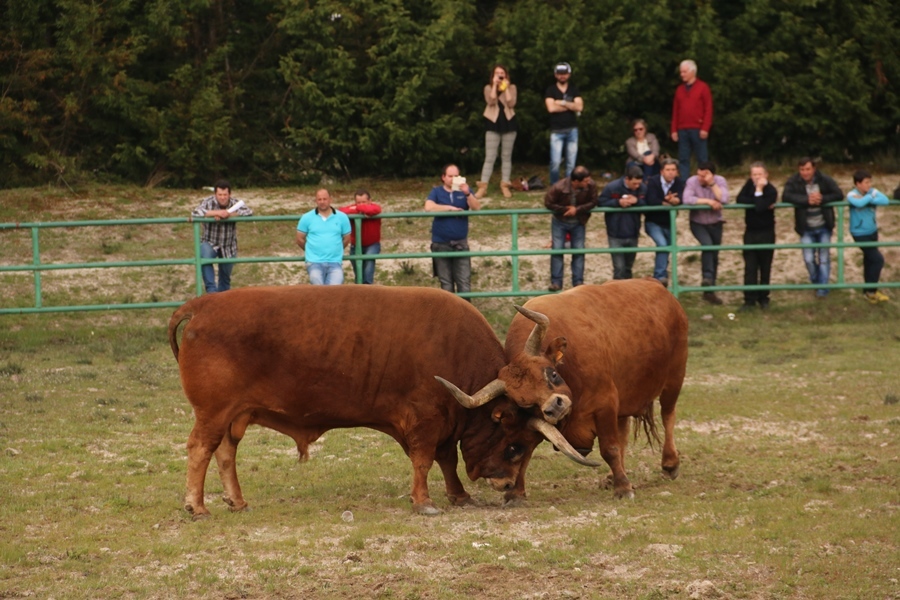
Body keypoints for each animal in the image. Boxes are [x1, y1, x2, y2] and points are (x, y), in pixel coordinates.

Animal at [167, 284, 596, 516]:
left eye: (552, 374)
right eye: (514, 445)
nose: (507, 486)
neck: (456, 353)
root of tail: (203, 305)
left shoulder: (443, 425)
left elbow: (446, 460)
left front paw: (459, 495)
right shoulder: (425, 421)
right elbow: (424, 461)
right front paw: (424, 502)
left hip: (234, 417)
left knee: (225, 452)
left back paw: (236, 502)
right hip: (213, 414)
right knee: (200, 449)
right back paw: (196, 506)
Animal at [502, 278, 684, 500]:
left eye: (552, 374)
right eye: (525, 403)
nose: (555, 407)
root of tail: (655, 283)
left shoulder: (605, 404)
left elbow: (609, 448)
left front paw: (623, 487)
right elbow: (525, 453)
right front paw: (516, 492)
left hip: (674, 378)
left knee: (667, 415)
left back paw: (670, 463)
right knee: (624, 431)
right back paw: (612, 476)